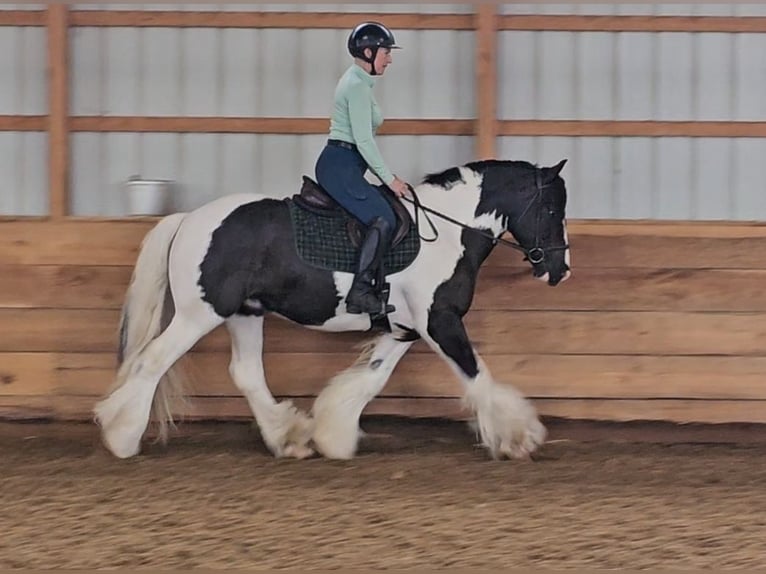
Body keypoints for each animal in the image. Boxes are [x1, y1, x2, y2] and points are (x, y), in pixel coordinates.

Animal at [93, 156, 572, 464]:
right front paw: (519, 437)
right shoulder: (441, 322)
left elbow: (373, 377)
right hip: (200, 313)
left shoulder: (406, 329)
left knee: (245, 374)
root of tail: (189, 219)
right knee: (152, 362)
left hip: (246, 313)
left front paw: (333, 433)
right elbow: (478, 375)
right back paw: (122, 436)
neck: (447, 232)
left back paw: (289, 438)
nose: (560, 269)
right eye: (551, 208)